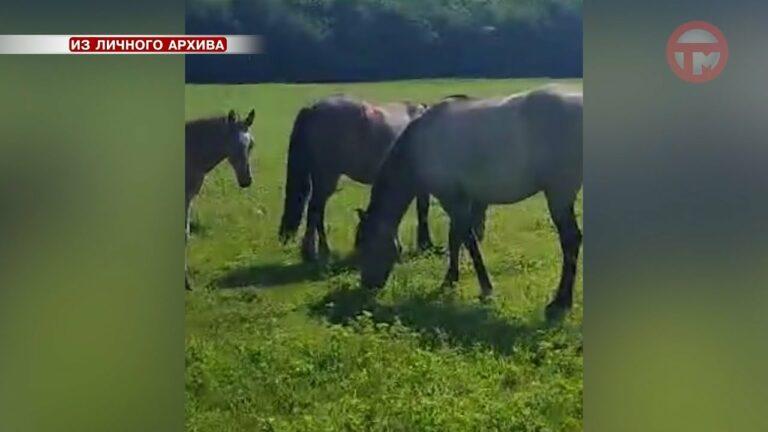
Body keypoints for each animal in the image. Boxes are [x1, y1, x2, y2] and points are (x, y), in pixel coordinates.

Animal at [277, 95, 433, 262]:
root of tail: (312, 109)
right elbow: (423, 210)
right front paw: (425, 245)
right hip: (326, 177)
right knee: (315, 210)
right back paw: (318, 252)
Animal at [355, 88, 582, 319]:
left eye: (368, 246)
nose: (367, 285)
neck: (421, 145)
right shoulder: (460, 199)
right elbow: (455, 238)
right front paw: (449, 280)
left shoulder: (452, 199)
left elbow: (467, 239)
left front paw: (486, 288)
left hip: (559, 193)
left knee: (571, 240)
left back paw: (560, 303)